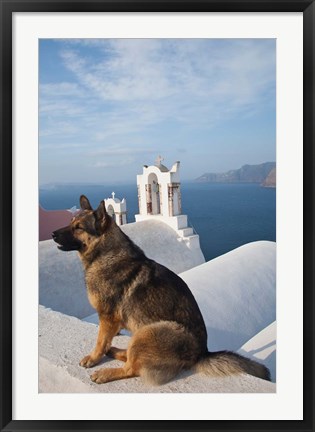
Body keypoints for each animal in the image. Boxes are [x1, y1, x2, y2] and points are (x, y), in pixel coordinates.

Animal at [52, 196, 272, 384]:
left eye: (78, 227)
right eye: (70, 222)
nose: (53, 234)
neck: (105, 253)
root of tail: (200, 354)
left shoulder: (107, 318)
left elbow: (100, 342)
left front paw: (93, 358)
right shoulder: (113, 321)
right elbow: (106, 341)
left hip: (149, 331)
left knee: (132, 368)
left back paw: (106, 372)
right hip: (141, 333)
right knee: (131, 356)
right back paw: (115, 352)